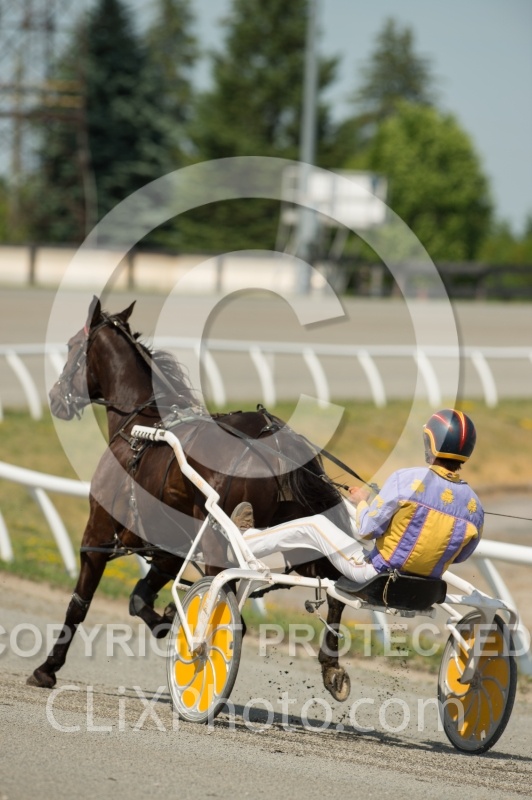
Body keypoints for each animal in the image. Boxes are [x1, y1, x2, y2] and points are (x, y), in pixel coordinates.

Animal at [27, 297, 353, 701]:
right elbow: (139, 598)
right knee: (334, 587)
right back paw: (331, 667)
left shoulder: (99, 531)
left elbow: (79, 605)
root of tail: (276, 439)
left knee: (230, 600)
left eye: (73, 346)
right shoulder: (170, 545)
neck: (141, 428)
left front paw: (47, 668)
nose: (55, 398)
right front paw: (168, 618)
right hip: (294, 535)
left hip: (218, 538)